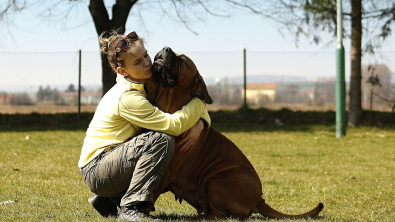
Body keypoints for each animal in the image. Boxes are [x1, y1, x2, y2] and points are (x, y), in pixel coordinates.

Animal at [149, 46, 324, 220]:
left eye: (183, 60)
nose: (165, 48)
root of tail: (259, 200)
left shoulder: (167, 171)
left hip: (216, 180)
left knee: (217, 215)